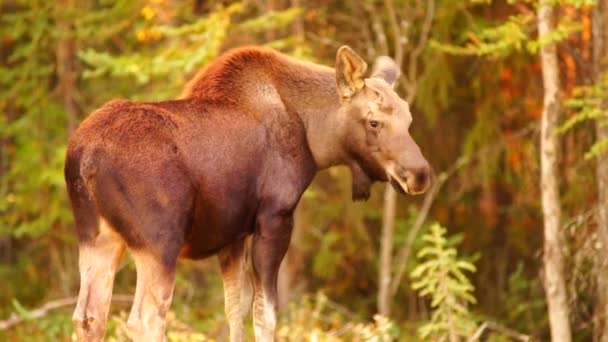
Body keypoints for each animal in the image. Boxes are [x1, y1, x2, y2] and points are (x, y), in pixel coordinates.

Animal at [64, 45, 430, 342]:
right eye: (373, 122)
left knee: (88, 317)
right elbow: (265, 314)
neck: (316, 139)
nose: (420, 174)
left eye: (410, 119)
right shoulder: (274, 217)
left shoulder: (234, 235)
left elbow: (235, 309)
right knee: (146, 319)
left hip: (96, 238)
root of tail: (85, 158)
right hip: (159, 243)